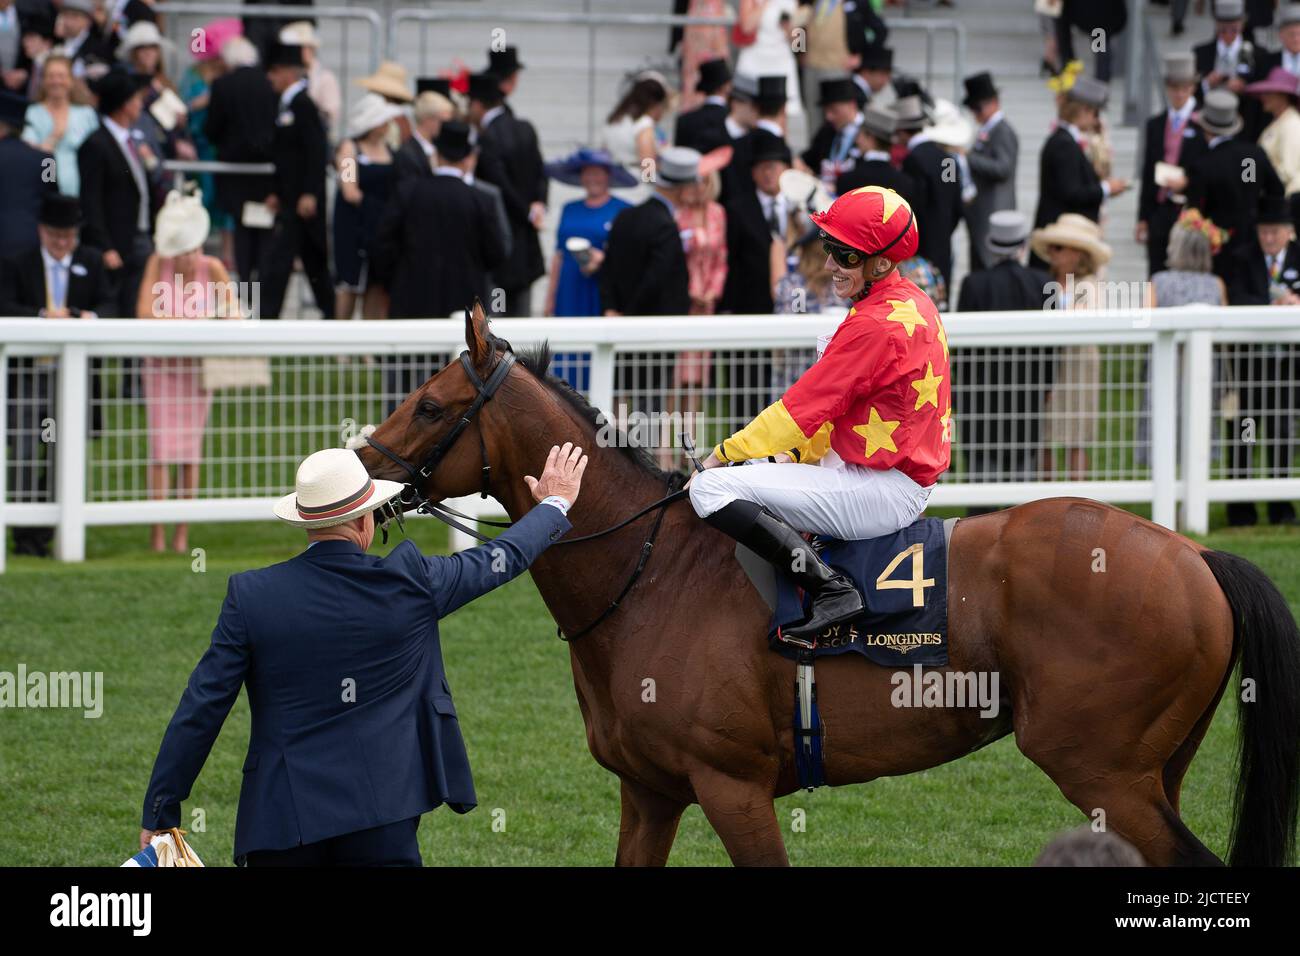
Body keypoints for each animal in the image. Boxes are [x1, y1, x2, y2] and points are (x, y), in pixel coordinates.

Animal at [356, 308, 1300, 868]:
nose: (359, 472)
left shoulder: (731, 787)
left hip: (1101, 770)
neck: (649, 573)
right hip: (1149, 770)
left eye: (431, 406)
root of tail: (1192, 554)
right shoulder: (650, 793)